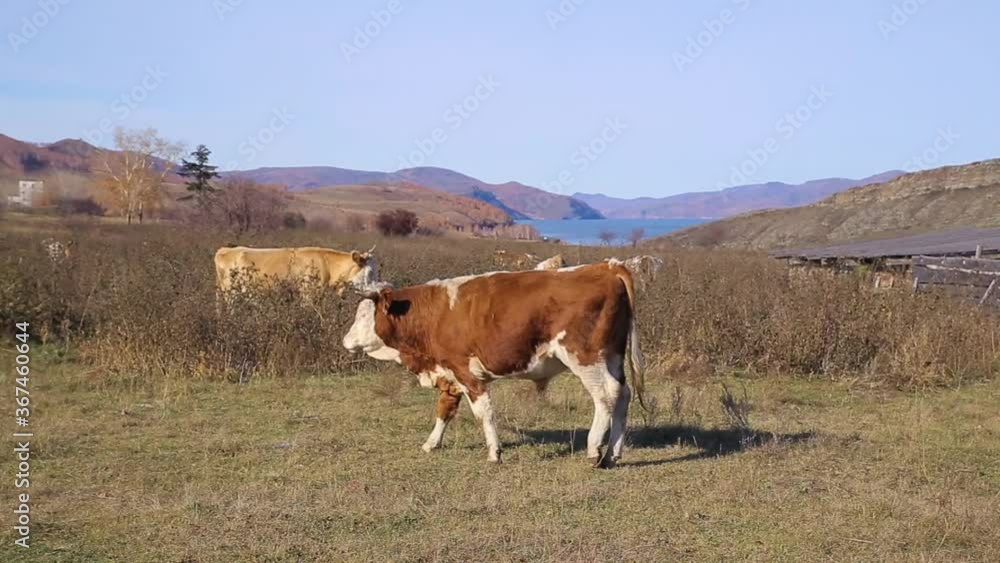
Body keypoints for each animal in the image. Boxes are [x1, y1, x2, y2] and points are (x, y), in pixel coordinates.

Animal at [342, 261, 646, 467]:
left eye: (363, 316)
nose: (345, 340)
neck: (435, 315)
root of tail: (607, 266)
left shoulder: (465, 372)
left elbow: (483, 413)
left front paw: (494, 453)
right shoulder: (449, 373)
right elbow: (445, 410)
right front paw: (431, 443)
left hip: (585, 358)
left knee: (606, 395)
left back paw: (595, 450)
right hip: (612, 356)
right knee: (623, 394)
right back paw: (613, 453)